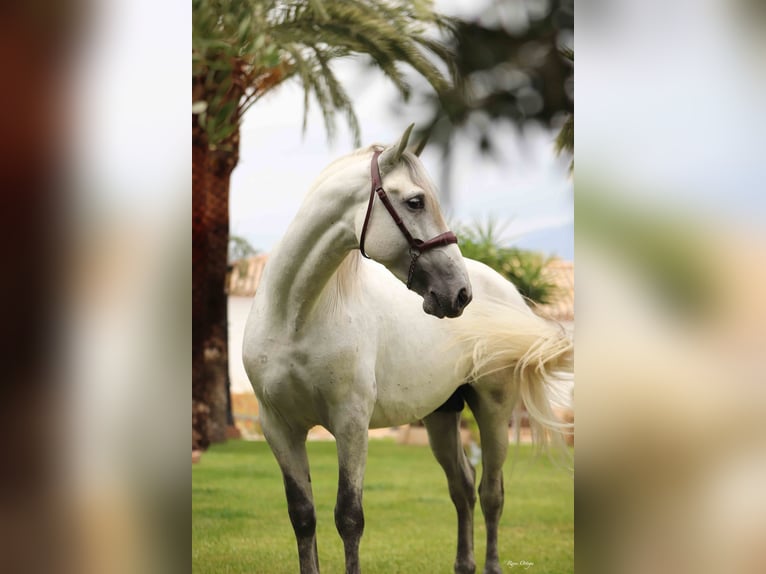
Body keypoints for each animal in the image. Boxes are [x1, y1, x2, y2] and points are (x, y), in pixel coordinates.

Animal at [243, 127, 572, 574]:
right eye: (415, 201)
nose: (459, 293)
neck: (295, 317)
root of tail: (506, 292)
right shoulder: (278, 427)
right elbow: (303, 516)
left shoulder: (350, 424)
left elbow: (349, 517)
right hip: (440, 415)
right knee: (462, 487)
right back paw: (464, 564)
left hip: (493, 408)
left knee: (491, 493)